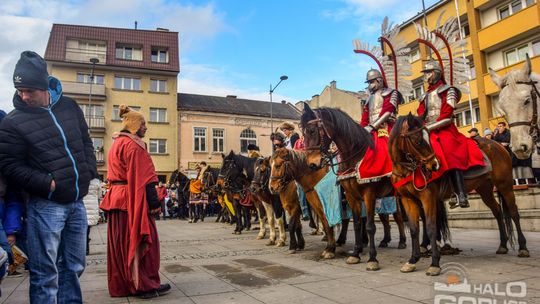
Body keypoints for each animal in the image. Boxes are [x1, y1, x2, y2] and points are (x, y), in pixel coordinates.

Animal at [302, 103, 408, 270]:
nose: (312, 164)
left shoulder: (369, 195)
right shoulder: (352, 197)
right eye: (303, 132)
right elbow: (357, 224)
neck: (356, 153)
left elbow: (370, 226)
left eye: (312, 130)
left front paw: (372, 259)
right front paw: (355, 254)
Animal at [388, 114, 532, 276]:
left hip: (505, 185)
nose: (435, 165)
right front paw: (413, 260)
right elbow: (414, 229)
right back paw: (502, 245)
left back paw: (523, 248)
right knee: (497, 211)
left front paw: (434, 263)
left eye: (428, 138)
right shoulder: (408, 200)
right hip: (484, 189)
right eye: (418, 141)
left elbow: (431, 227)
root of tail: (498, 146)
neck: (406, 170)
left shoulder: (427, 198)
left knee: (513, 213)